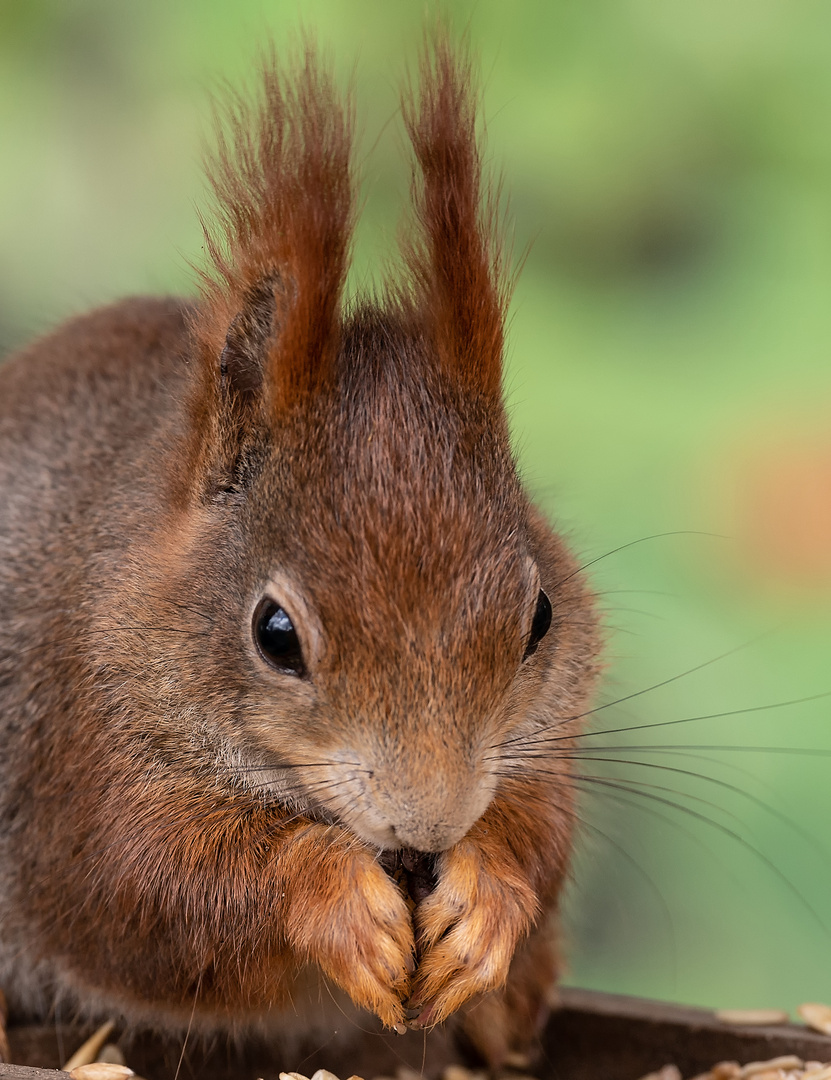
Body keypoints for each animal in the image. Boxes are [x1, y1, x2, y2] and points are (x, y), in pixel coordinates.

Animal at [0, 33, 600, 1071]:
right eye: (274, 634)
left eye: (539, 618)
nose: (428, 823)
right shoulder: (74, 743)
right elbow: (137, 886)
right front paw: (326, 895)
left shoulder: (547, 732)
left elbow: (541, 831)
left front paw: (485, 894)